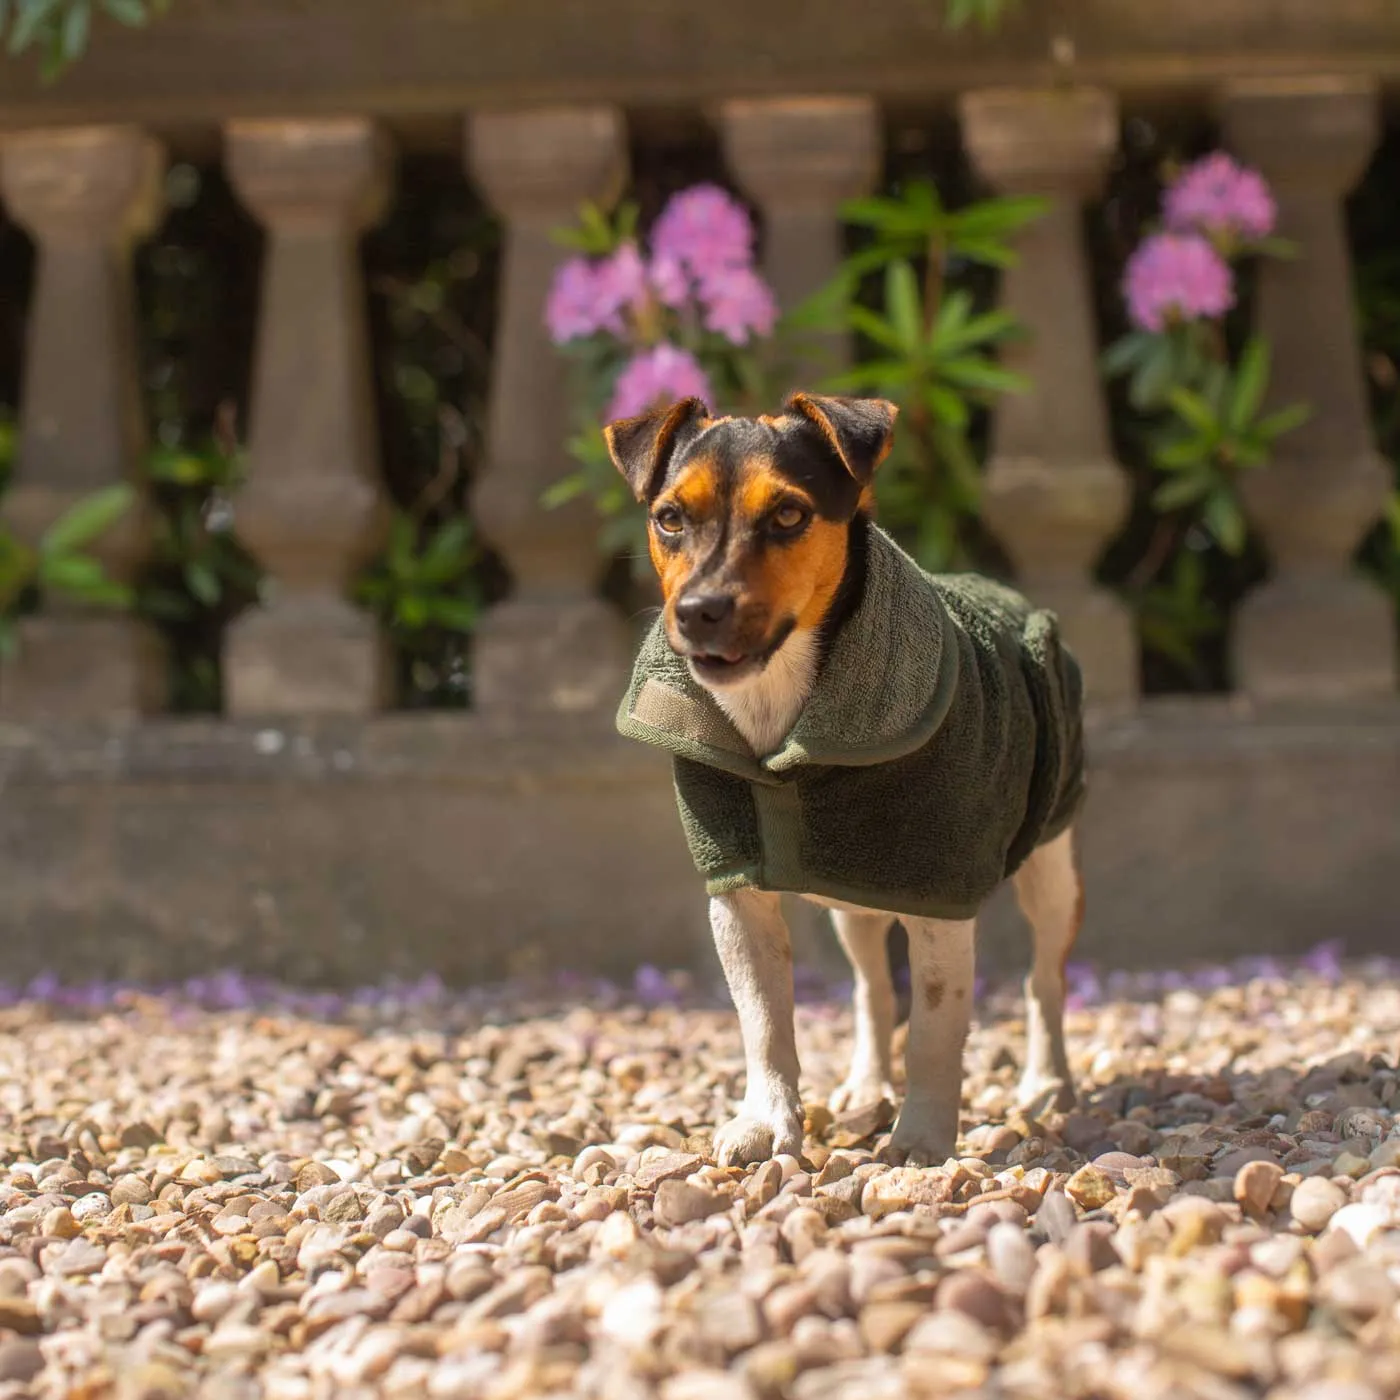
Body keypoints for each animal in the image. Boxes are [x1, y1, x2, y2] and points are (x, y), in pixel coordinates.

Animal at [602, 389, 1080, 1164]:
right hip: (852, 904)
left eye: (789, 515)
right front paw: (766, 1123)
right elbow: (765, 1023)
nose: (700, 610)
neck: (777, 709)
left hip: (1051, 863)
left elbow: (935, 1033)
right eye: (670, 517)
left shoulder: (939, 896)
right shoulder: (737, 891)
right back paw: (866, 1086)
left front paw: (921, 1140)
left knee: (1046, 977)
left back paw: (1046, 1083)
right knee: (871, 989)